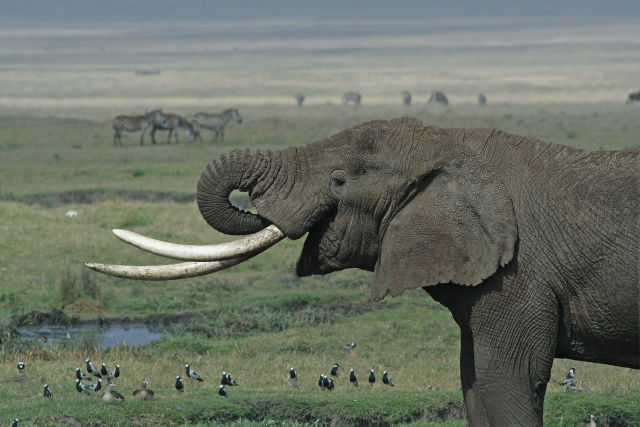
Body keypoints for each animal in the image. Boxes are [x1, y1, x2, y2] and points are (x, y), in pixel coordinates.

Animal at [87, 117, 639, 426]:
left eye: (338, 180)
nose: (255, 208)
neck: (449, 143)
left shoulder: (519, 274)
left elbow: (508, 381)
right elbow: (474, 385)